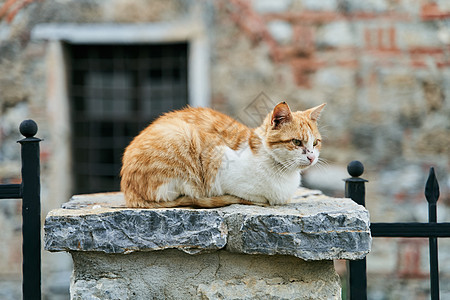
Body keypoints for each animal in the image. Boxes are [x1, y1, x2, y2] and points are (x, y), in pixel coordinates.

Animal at [119, 102, 324, 207]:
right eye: (296, 142)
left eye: (315, 143)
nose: (312, 157)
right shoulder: (217, 160)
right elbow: (256, 196)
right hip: (181, 136)